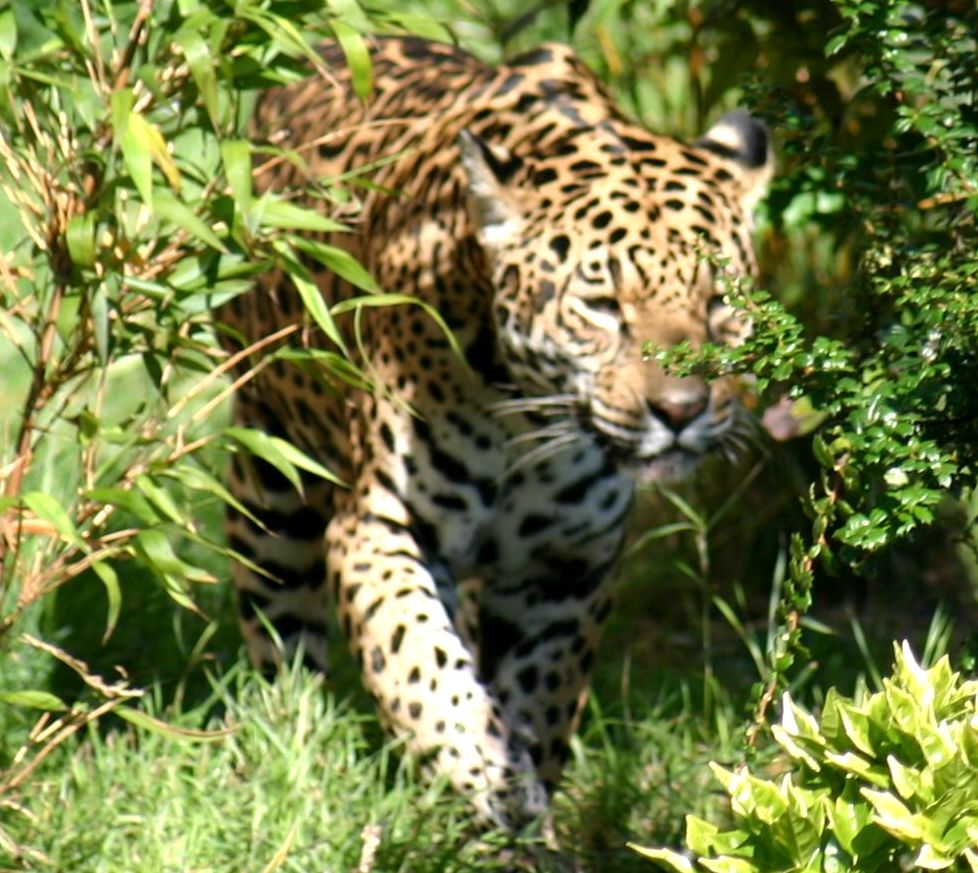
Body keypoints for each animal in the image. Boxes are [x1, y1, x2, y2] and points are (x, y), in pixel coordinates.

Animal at [218, 34, 772, 828]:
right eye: (602, 306)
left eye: (720, 301)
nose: (681, 409)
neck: (530, 422)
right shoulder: (382, 526)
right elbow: (423, 665)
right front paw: (490, 776)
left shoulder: (566, 566)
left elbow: (540, 693)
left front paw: (520, 801)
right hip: (271, 479)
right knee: (282, 639)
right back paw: (291, 750)